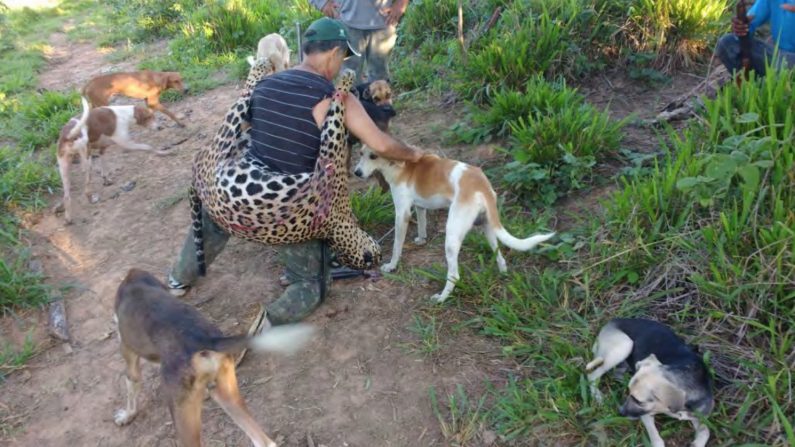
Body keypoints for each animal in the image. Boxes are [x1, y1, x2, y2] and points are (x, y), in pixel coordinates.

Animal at [115, 270, 314, 447]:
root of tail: (202, 339)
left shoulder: (128, 353)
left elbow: (131, 385)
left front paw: (127, 415)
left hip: (184, 419)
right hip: (226, 393)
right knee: (264, 442)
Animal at [358, 149, 556, 302]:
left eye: (373, 156)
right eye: (360, 153)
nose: (357, 172)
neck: (401, 166)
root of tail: (482, 185)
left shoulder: (402, 214)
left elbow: (397, 245)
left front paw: (392, 265)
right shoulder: (420, 207)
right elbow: (422, 223)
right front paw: (421, 239)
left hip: (452, 237)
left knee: (454, 275)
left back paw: (442, 298)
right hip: (488, 227)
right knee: (499, 255)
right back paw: (503, 273)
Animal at [584, 318, 716, 447]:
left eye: (639, 401)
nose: (620, 412)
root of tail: (611, 321)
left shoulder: (700, 417)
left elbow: (706, 431)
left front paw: (697, 442)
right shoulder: (645, 414)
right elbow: (657, 440)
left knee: (615, 373)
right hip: (624, 345)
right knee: (592, 375)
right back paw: (598, 396)